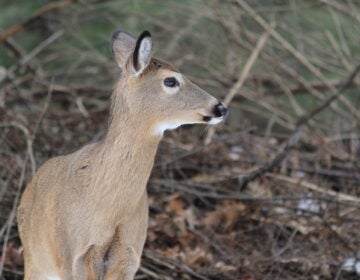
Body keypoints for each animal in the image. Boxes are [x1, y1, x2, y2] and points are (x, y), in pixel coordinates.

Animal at [17, 29, 228, 278]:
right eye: (170, 80)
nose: (221, 107)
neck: (110, 208)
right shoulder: (74, 256)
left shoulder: (128, 256)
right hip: (37, 260)